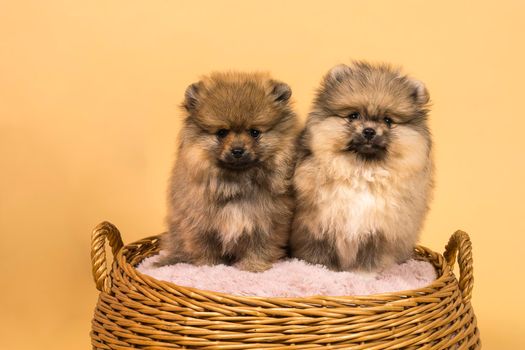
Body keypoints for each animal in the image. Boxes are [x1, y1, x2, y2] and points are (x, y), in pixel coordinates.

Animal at [157, 72, 298, 274]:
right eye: (222, 133)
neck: (236, 182)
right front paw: (209, 267)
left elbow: (260, 247)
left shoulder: (267, 222)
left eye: (254, 132)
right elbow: (206, 249)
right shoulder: (200, 224)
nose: (237, 150)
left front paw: (253, 267)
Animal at [288, 61, 432, 272]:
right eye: (354, 115)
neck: (362, 170)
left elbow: (369, 259)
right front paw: (321, 270)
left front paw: (363, 275)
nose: (369, 131)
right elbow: (319, 254)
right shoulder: (316, 224)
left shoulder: (380, 231)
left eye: (388, 121)